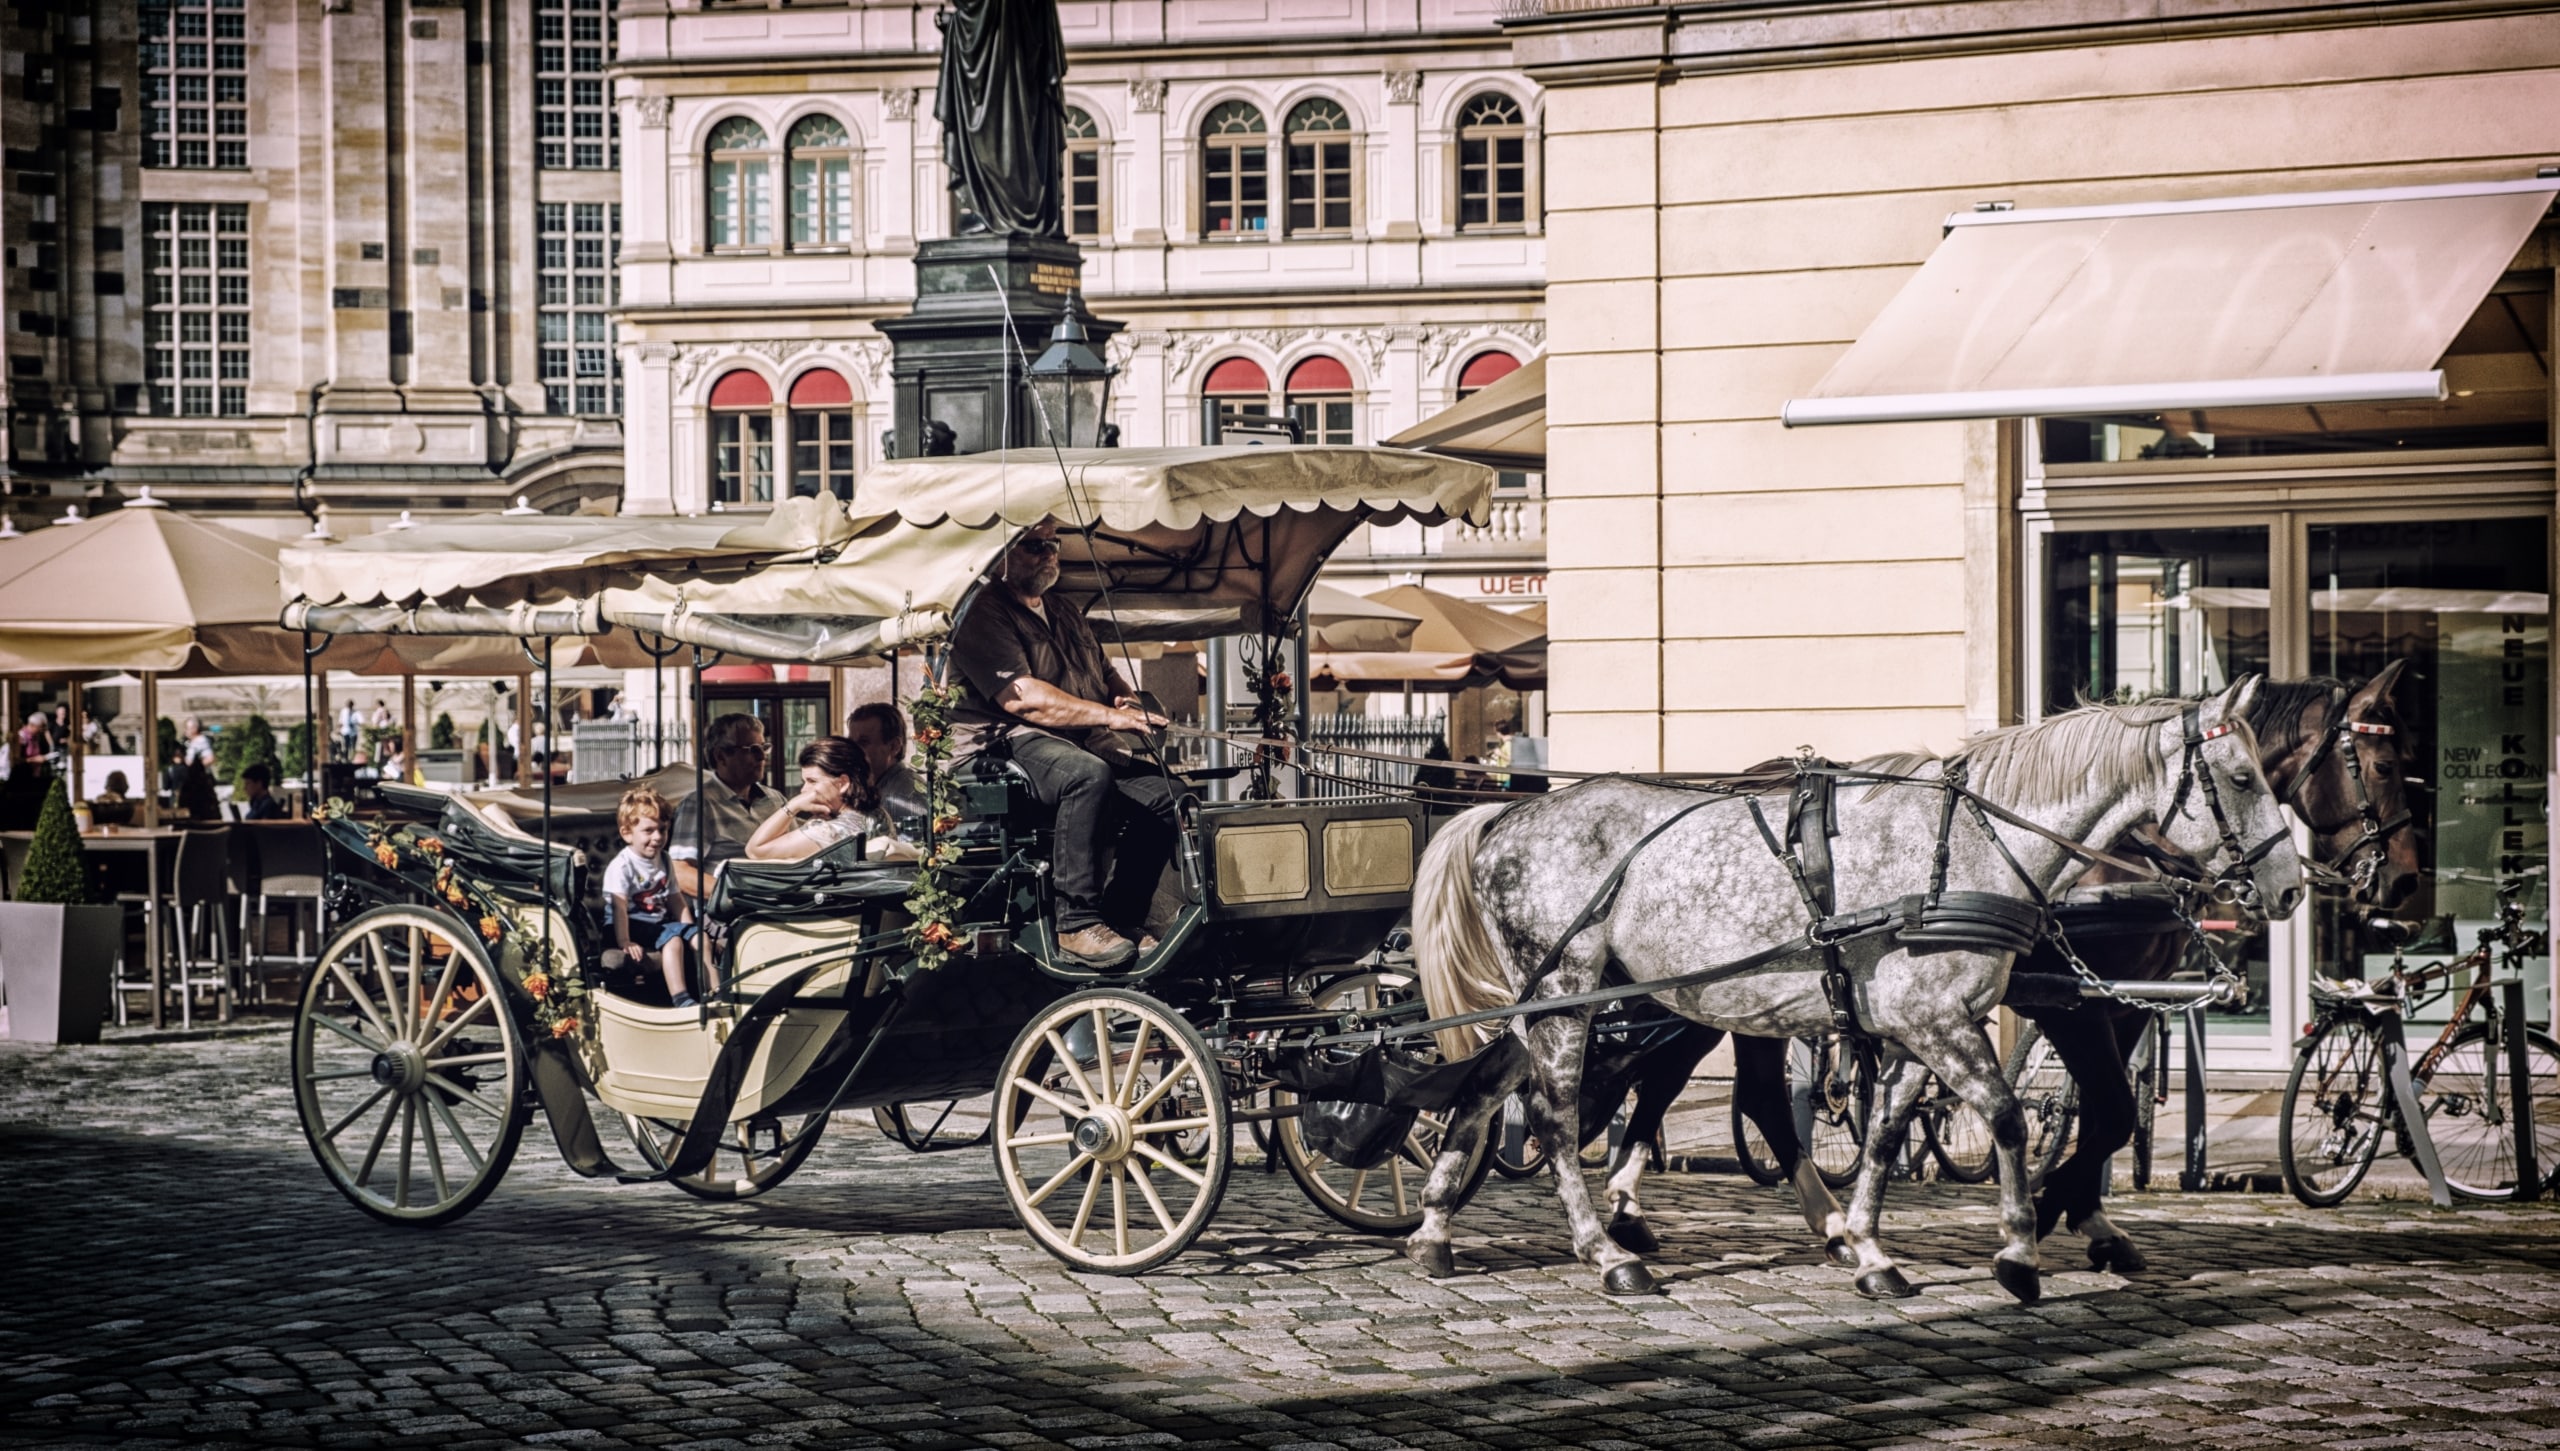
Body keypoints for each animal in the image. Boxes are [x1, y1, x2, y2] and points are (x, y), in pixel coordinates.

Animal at [1413, 680, 2314, 1305]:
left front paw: (1875, 1251)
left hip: (1554, 1000)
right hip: (1567, 994)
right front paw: (2019, 1251)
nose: (2291, 887)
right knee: (1558, 1117)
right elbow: (2011, 1117)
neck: (1979, 845)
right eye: (2241, 776)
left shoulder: (1925, 1025)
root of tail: (1504, 816)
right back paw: (1606, 1251)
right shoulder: (1948, 1020)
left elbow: (1884, 1132)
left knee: (1488, 1085)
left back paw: (1434, 1226)